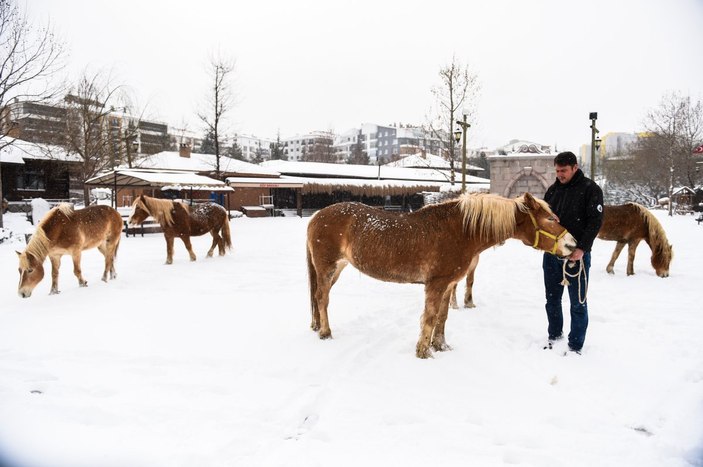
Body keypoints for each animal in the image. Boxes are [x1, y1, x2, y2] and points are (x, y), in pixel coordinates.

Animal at [306, 192, 576, 360]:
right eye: (549, 218)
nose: (573, 245)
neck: (460, 230)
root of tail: (316, 217)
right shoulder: (435, 284)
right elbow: (430, 317)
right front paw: (423, 352)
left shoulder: (448, 284)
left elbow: (442, 317)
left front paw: (441, 346)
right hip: (327, 267)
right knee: (322, 298)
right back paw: (326, 333)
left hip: (337, 268)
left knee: (319, 298)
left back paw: (318, 327)